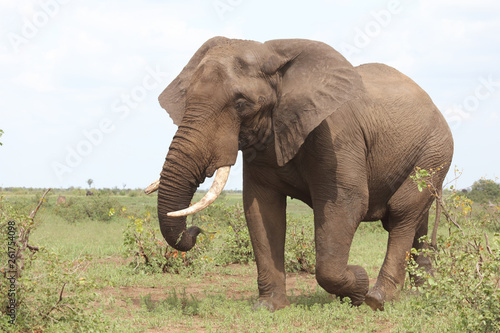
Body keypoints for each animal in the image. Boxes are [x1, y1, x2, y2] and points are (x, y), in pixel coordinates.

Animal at [146, 37, 456, 310]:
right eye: (186, 99)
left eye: (241, 104)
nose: (196, 230)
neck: (275, 59)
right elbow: (262, 209)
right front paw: (268, 307)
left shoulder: (336, 133)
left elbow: (347, 203)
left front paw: (358, 284)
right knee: (416, 220)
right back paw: (422, 293)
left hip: (436, 151)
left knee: (402, 212)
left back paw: (378, 299)